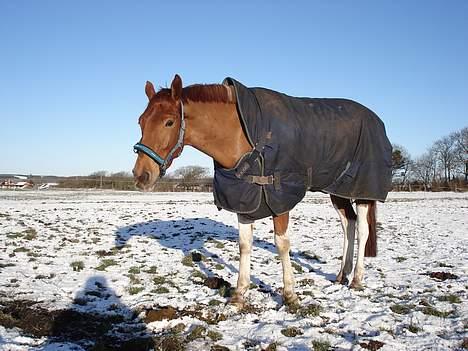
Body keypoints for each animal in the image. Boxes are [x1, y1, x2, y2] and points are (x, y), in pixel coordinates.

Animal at [133, 73, 394, 308]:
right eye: (141, 121)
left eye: (169, 122)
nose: (141, 175)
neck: (243, 135)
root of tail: (377, 120)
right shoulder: (245, 198)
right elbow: (244, 245)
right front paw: (239, 295)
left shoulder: (280, 197)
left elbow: (282, 244)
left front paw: (290, 295)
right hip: (337, 189)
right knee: (348, 223)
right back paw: (342, 275)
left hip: (363, 189)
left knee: (362, 229)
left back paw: (357, 279)